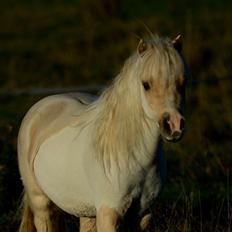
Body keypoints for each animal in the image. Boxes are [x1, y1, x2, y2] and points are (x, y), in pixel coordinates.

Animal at [17, 35, 187, 232]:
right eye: (146, 85)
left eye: (183, 83)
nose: (174, 125)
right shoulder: (109, 214)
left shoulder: (143, 214)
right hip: (41, 203)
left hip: (86, 211)